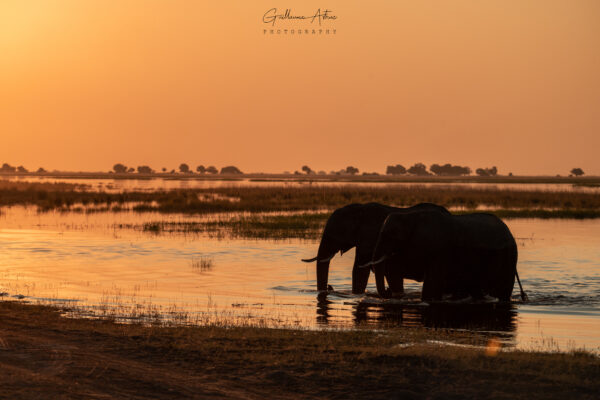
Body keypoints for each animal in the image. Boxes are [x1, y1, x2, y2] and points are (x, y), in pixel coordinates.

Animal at [366, 211, 524, 302]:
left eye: (392, 236)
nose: (388, 292)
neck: (410, 218)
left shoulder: (438, 248)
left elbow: (432, 279)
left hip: (508, 257)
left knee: (502, 290)